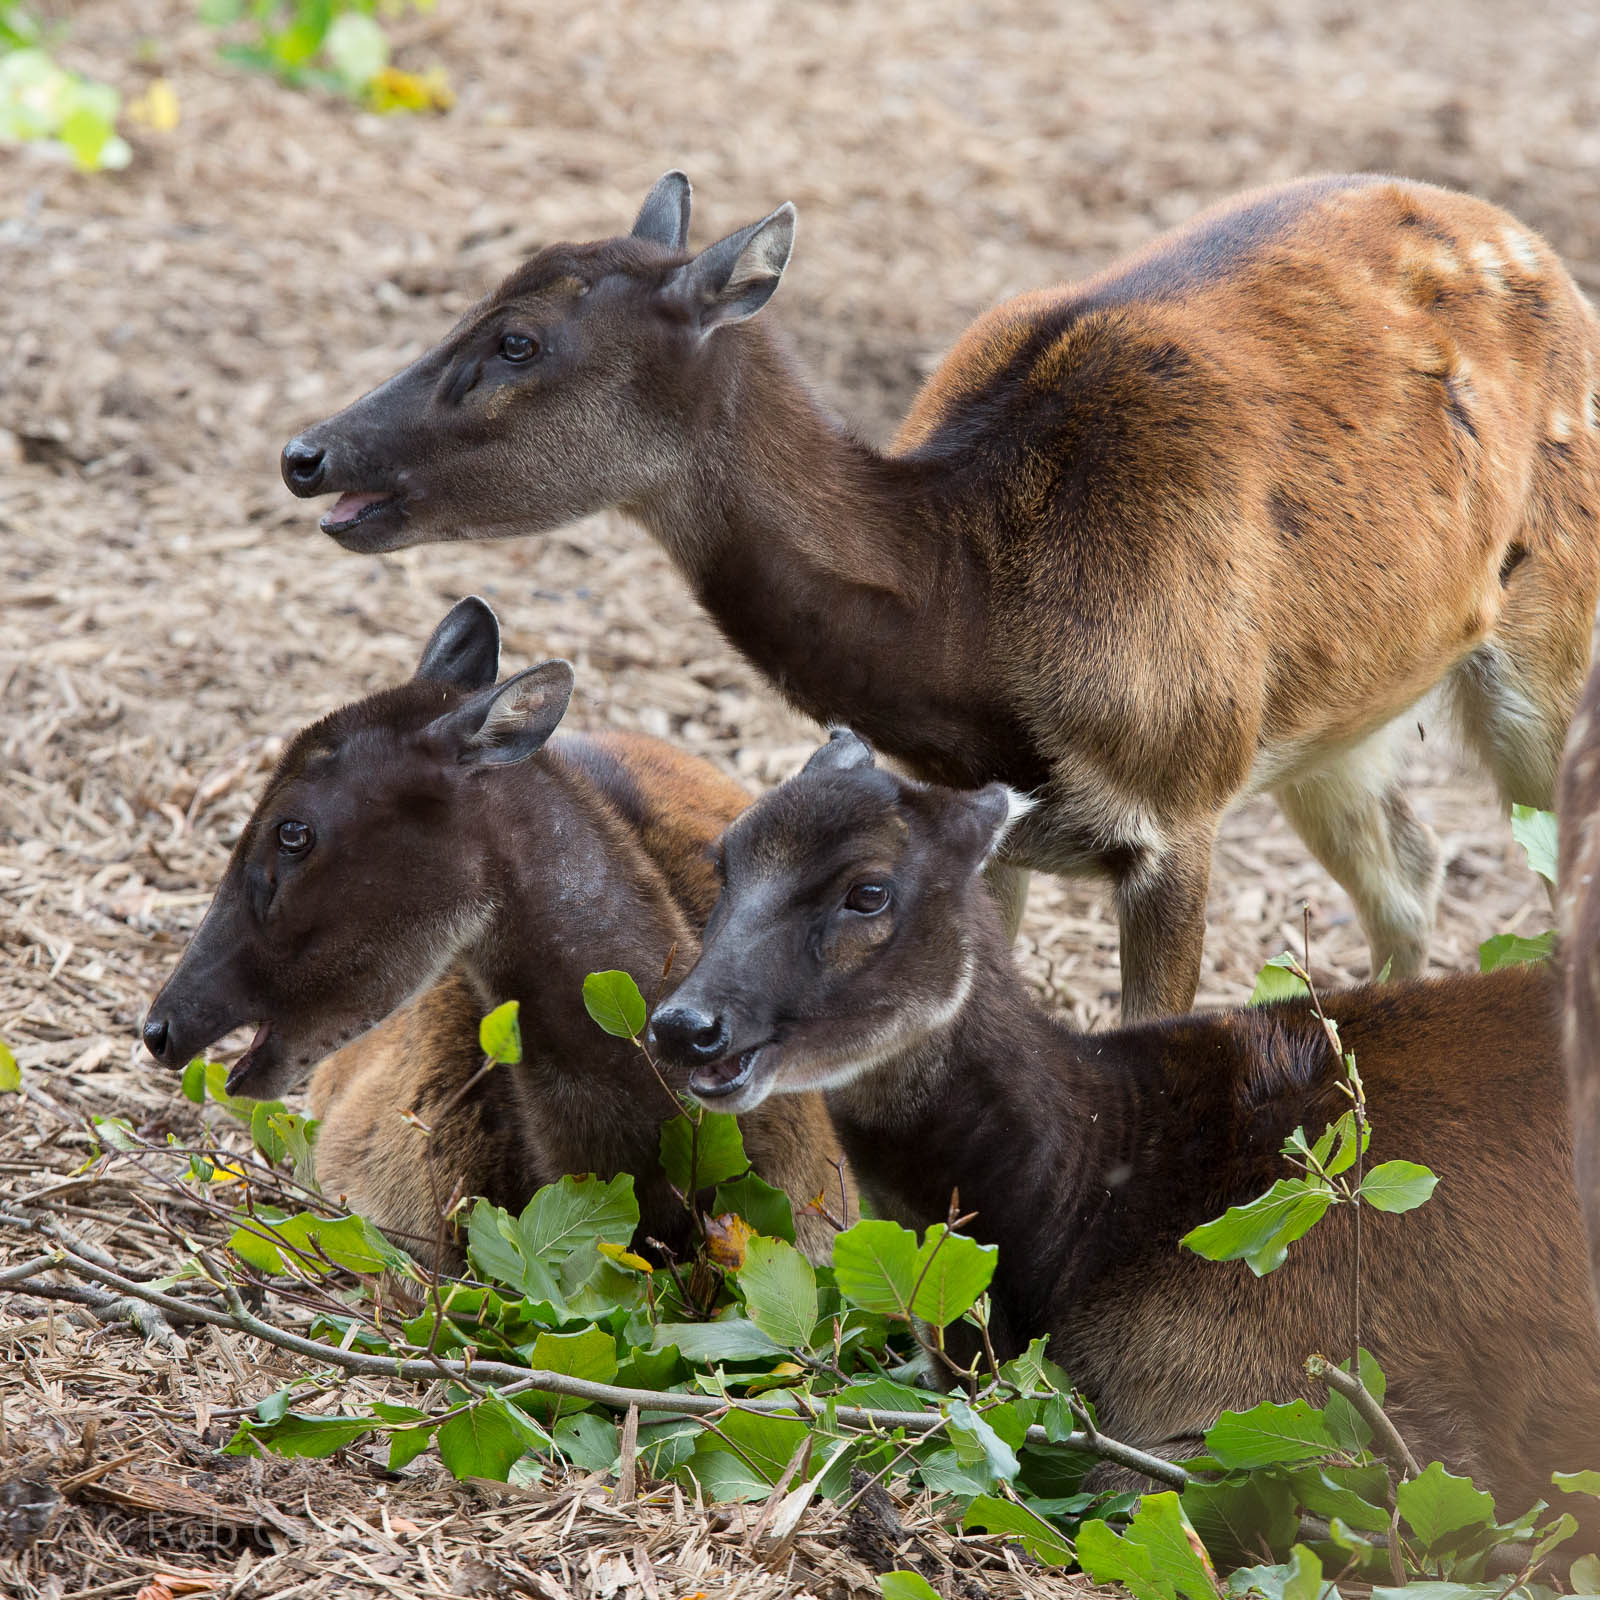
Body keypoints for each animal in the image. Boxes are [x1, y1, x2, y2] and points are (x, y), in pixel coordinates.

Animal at [278, 172, 1600, 1019]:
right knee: (1411, 874)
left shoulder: (1178, 788)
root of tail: (1535, 247)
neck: (975, 627)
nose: (308, 452)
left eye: (518, 342)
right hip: (1338, 713)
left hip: (1548, 639)